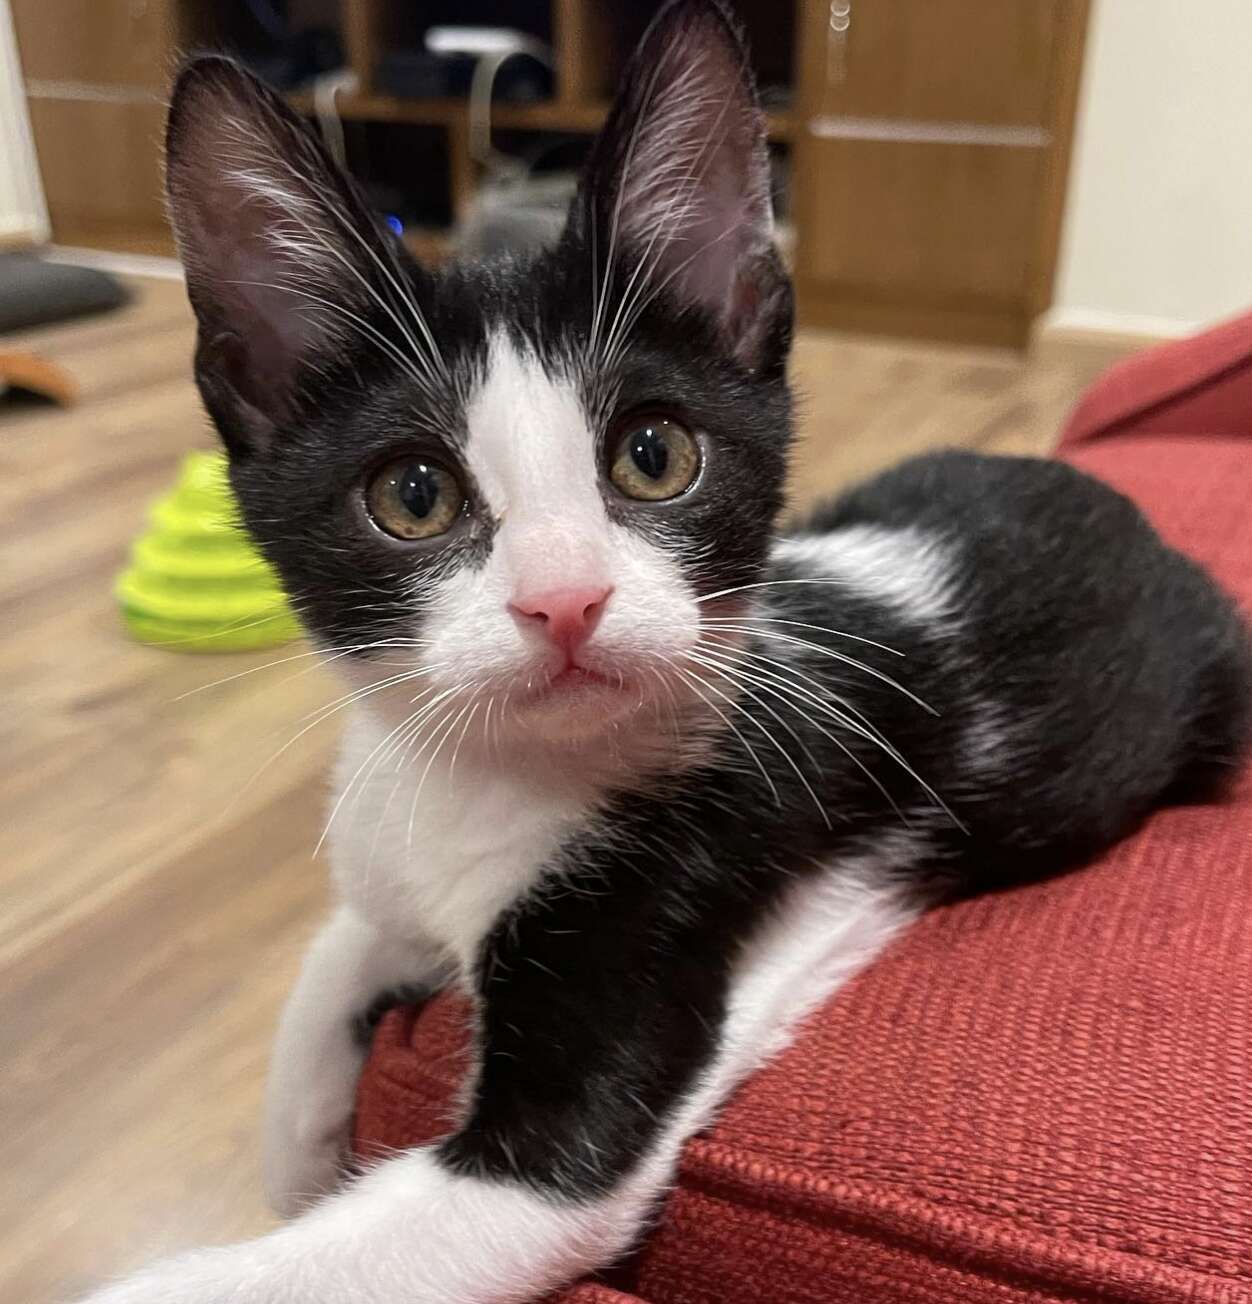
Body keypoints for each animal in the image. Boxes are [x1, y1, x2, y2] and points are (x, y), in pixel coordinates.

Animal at [83, 2, 1246, 1304]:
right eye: (413, 493)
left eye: (654, 455)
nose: (565, 599)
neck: (485, 774)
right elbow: (343, 939)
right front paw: (297, 1131)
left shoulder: (661, 914)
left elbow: (453, 1204)